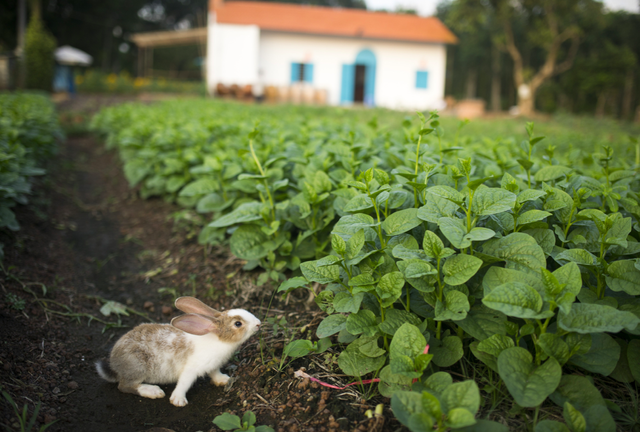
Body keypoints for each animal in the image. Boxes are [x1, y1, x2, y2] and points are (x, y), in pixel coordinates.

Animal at [95, 296, 260, 406]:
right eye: (238, 324)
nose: (258, 323)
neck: (219, 340)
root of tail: (114, 364)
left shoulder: (212, 366)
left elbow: (214, 373)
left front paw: (224, 380)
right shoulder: (191, 369)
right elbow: (184, 383)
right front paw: (178, 401)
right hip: (137, 367)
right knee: (125, 386)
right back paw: (153, 391)